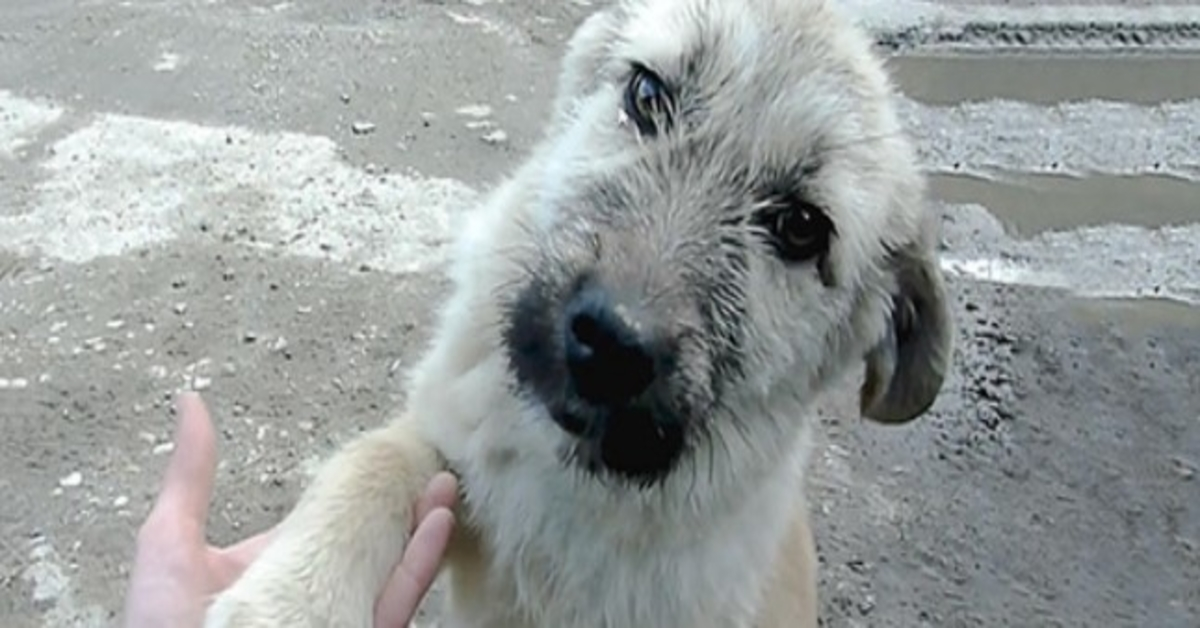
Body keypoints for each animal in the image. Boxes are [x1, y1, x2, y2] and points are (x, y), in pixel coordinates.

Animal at [208, 0, 955, 624]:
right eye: (647, 95)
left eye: (801, 228)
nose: (613, 340)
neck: (575, 481)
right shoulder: (452, 453)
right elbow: (373, 463)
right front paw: (293, 599)